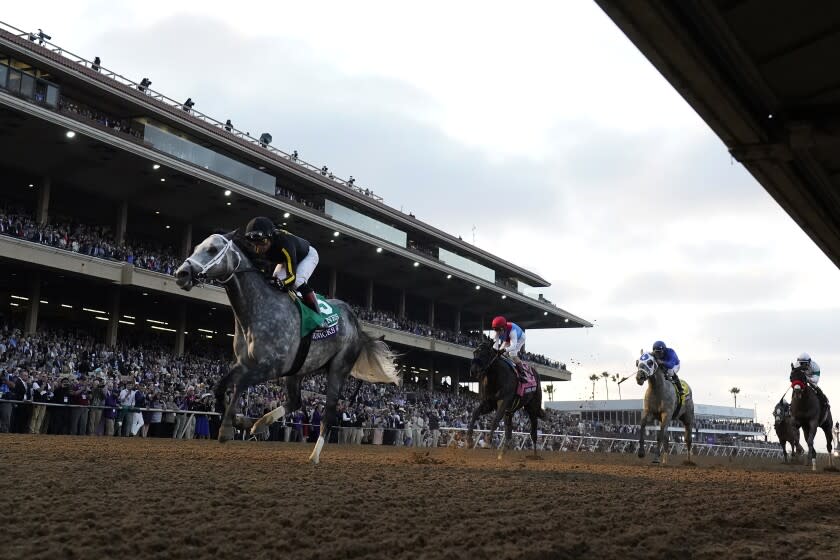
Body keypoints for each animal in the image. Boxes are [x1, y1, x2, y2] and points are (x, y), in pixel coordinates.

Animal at [174, 232, 400, 464]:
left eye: (212, 250)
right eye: (196, 247)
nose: (181, 273)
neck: (258, 310)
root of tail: (356, 322)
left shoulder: (272, 366)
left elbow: (241, 384)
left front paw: (228, 428)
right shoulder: (245, 363)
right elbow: (220, 387)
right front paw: (240, 420)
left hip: (339, 368)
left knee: (328, 413)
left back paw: (314, 456)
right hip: (297, 370)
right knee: (296, 402)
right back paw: (260, 424)